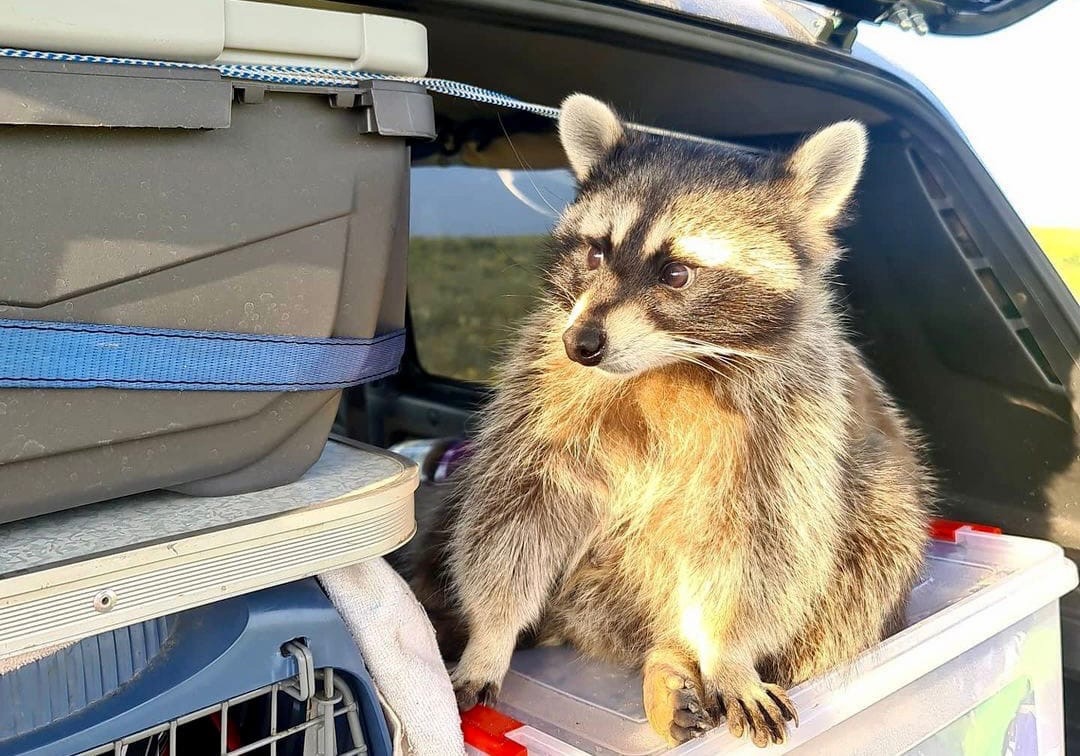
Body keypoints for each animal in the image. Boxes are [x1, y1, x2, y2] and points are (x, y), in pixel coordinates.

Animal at [408, 92, 933, 743]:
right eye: (596, 252)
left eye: (676, 272)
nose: (581, 345)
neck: (668, 364)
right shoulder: (541, 398)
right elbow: (516, 515)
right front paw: (490, 636)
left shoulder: (790, 428)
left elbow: (761, 545)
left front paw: (728, 655)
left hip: (880, 512)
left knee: (866, 565)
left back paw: (674, 656)